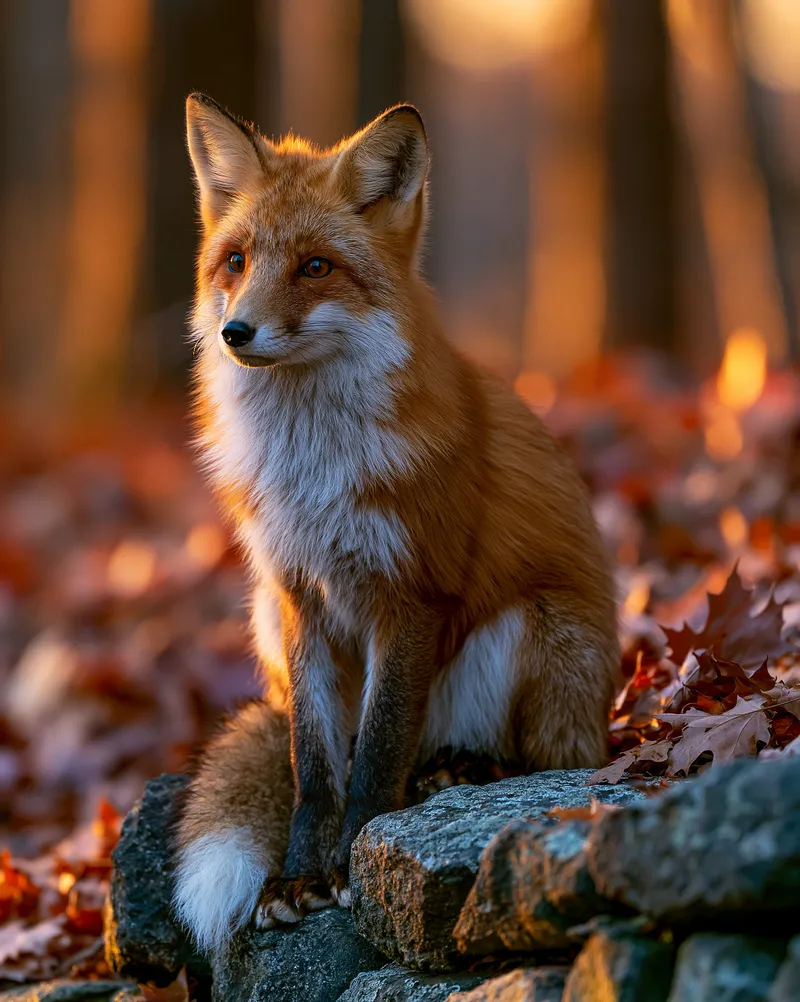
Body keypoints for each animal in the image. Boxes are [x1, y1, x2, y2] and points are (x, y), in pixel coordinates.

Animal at [172, 93, 619, 955]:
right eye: (235, 261)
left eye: (315, 266)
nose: (236, 332)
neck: (310, 469)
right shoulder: (298, 597)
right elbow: (315, 769)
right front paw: (298, 880)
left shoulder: (412, 592)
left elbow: (378, 754)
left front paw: (353, 864)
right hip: (261, 619)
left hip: (540, 632)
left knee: (528, 757)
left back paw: (464, 772)